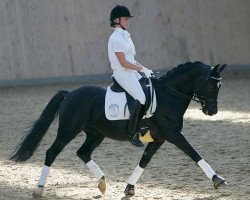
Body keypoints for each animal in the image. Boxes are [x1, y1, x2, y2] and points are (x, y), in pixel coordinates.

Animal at [10, 61, 228, 197]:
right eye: (211, 85)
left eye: (220, 86)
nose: (212, 111)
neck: (168, 95)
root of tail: (70, 93)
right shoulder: (173, 135)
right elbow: (194, 153)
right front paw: (217, 179)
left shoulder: (159, 139)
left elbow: (144, 161)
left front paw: (129, 188)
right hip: (68, 131)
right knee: (51, 152)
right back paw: (39, 189)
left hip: (95, 134)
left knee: (83, 152)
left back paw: (102, 182)